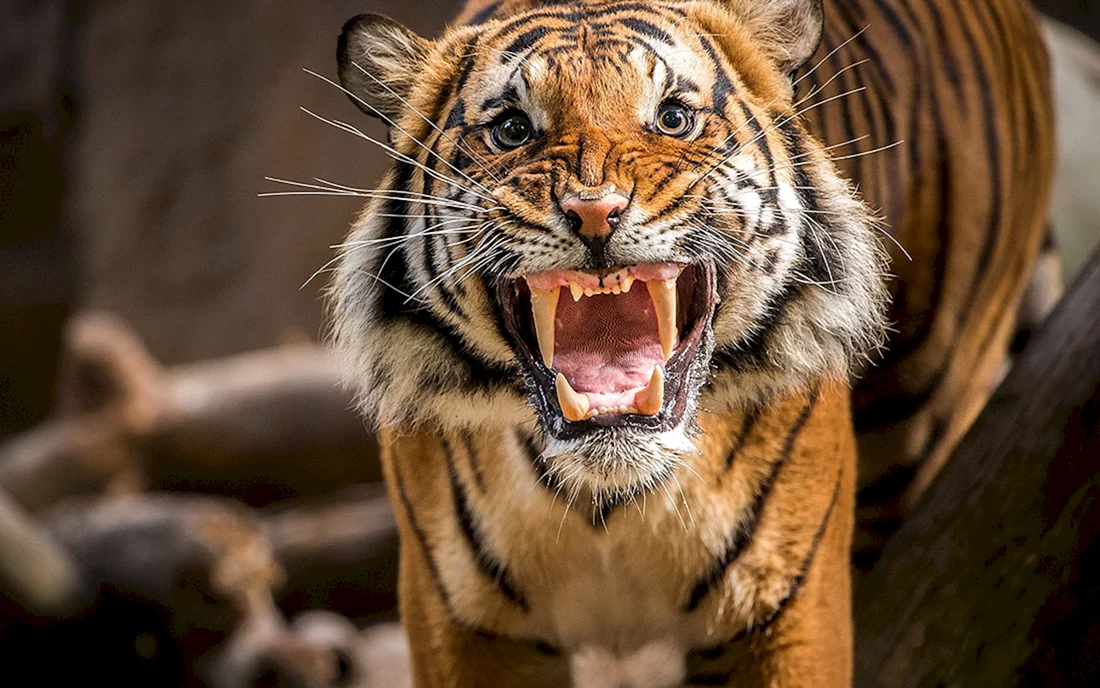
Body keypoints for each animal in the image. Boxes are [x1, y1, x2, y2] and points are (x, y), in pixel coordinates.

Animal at [325, 0, 1053, 685]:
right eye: (512, 129)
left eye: (672, 118)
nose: (595, 211)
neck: (606, 497)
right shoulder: (461, 624)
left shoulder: (787, 606)